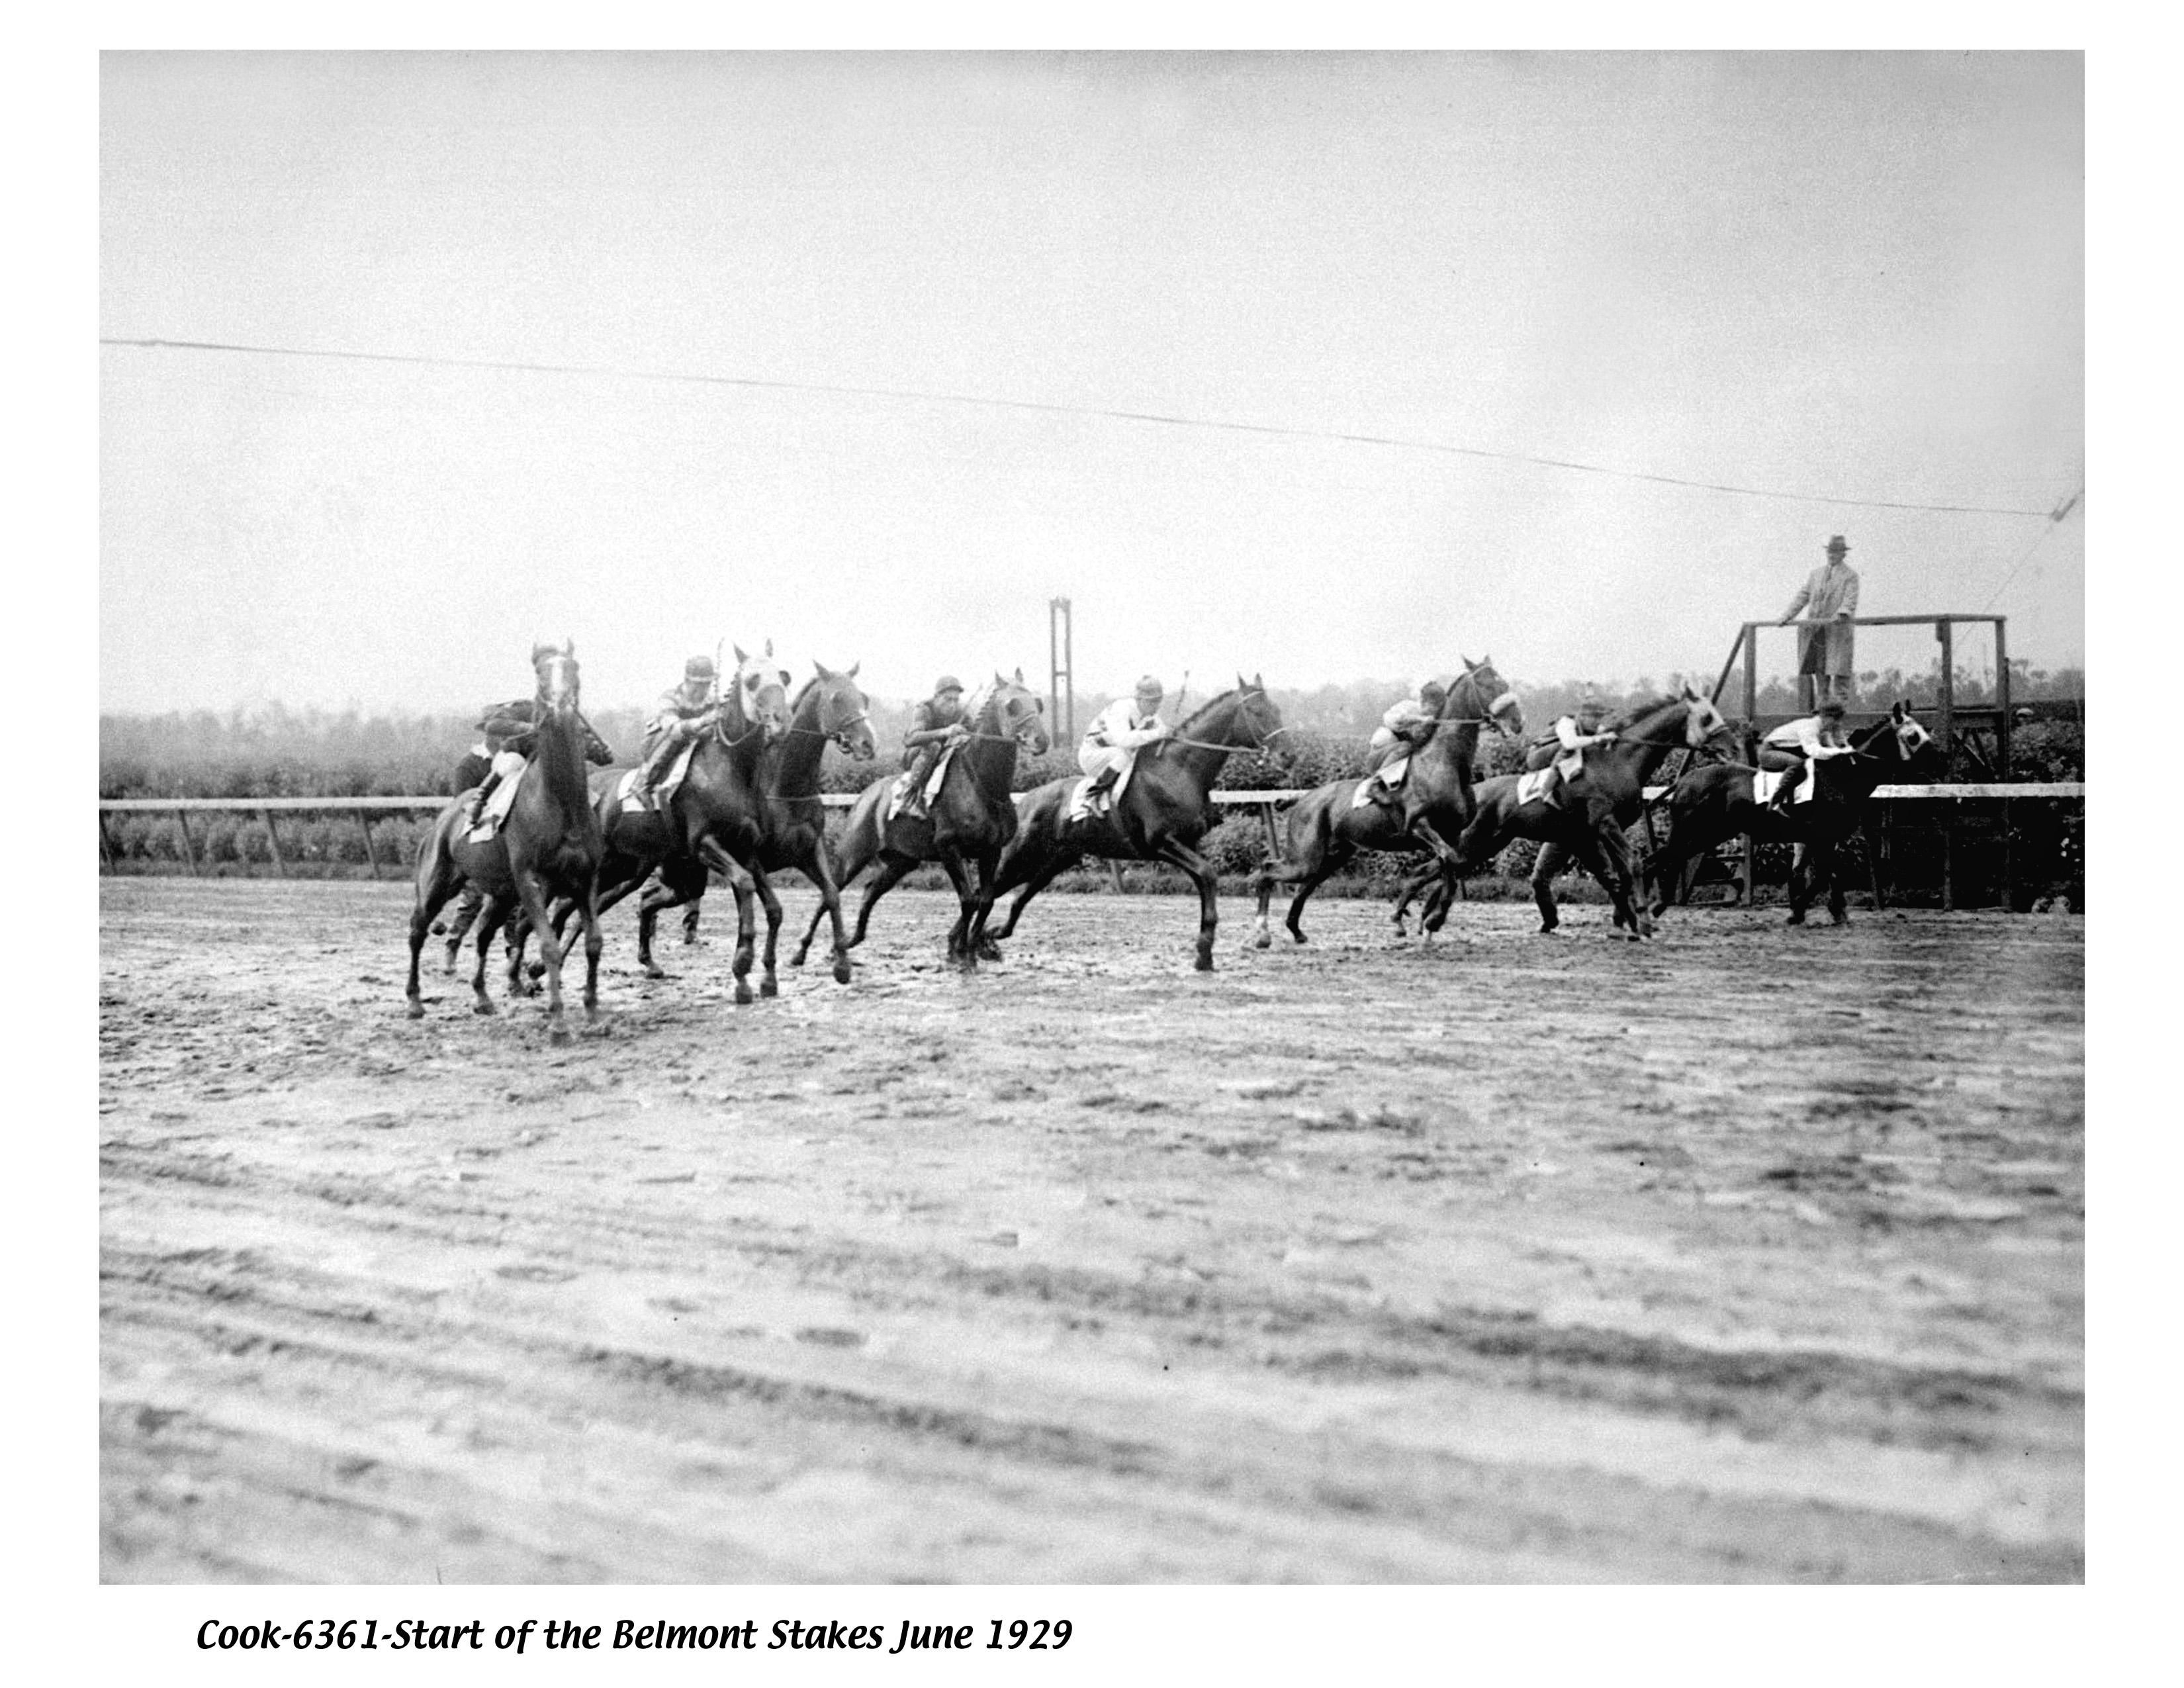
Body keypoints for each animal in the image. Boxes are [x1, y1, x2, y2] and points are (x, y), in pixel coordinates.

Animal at [408, 637, 607, 1039]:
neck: (560, 802)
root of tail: (444, 819)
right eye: (541, 673)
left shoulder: (586, 878)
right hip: (438, 884)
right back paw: (415, 1002)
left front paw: (593, 1014)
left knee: (483, 933)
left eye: (574, 669)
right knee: (418, 931)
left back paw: (482, 998)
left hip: (501, 893)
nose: (561, 705)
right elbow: (547, 944)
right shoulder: (531, 880)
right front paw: (558, 1022)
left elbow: (593, 941)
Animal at [633, 663, 878, 987]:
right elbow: (774, 911)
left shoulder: (808, 852)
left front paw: (840, 964)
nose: (868, 743)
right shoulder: (754, 858)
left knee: (649, 899)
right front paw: (766, 974)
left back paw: (649, 963)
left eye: (864, 697)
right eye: (837, 698)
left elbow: (831, 895)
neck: (785, 787)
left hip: (687, 878)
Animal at [1249, 659, 1520, 947]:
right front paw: (1418, 919)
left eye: (1504, 684)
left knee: (1302, 887)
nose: (1517, 721)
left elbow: (1450, 868)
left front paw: (1430, 920)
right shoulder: (1419, 825)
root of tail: (1304, 799)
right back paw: (1262, 933)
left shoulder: (1452, 833)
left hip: (1331, 857)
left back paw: (1296, 930)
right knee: (1267, 871)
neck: (1444, 763)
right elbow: (1450, 862)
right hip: (1305, 857)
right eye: (1486, 684)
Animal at [1398, 690, 1738, 947]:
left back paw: (1424, 919)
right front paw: (1642, 921)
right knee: (1436, 868)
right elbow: (1632, 864)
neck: (1620, 762)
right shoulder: (1605, 823)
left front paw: (1627, 922)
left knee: (1440, 868)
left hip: (1487, 843)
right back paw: (1418, 918)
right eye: (1707, 718)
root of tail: (1471, 796)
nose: (1733, 747)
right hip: (1477, 840)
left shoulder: (1591, 834)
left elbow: (1618, 874)